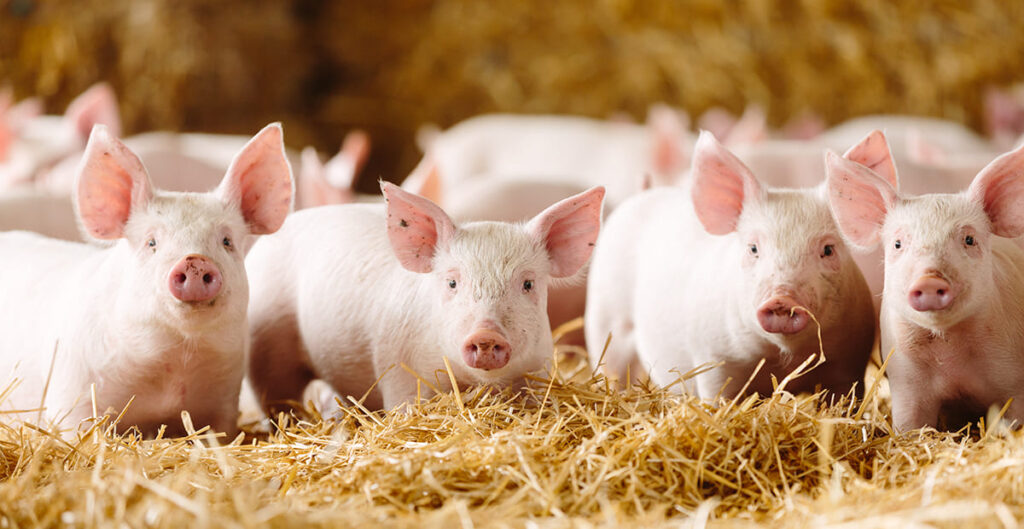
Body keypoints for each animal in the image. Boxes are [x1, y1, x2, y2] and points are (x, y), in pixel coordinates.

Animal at [0, 123, 292, 437]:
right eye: (151, 242)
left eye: (227, 241)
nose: (194, 260)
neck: (175, 366)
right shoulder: (72, 393)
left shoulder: (223, 402)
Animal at [246, 182, 604, 413]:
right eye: (452, 282)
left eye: (528, 283)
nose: (486, 334)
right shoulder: (399, 369)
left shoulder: (538, 370)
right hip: (268, 349)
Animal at [584, 131, 875, 399]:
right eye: (753, 248)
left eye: (828, 249)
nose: (782, 297)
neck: (783, 358)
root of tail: (643, 192)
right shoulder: (714, 360)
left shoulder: (849, 364)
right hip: (605, 318)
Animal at [826, 140, 1024, 431]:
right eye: (898, 243)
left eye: (969, 239)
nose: (929, 279)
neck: (950, 351)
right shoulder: (906, 380)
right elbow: (911, 425)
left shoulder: (1014, 380)